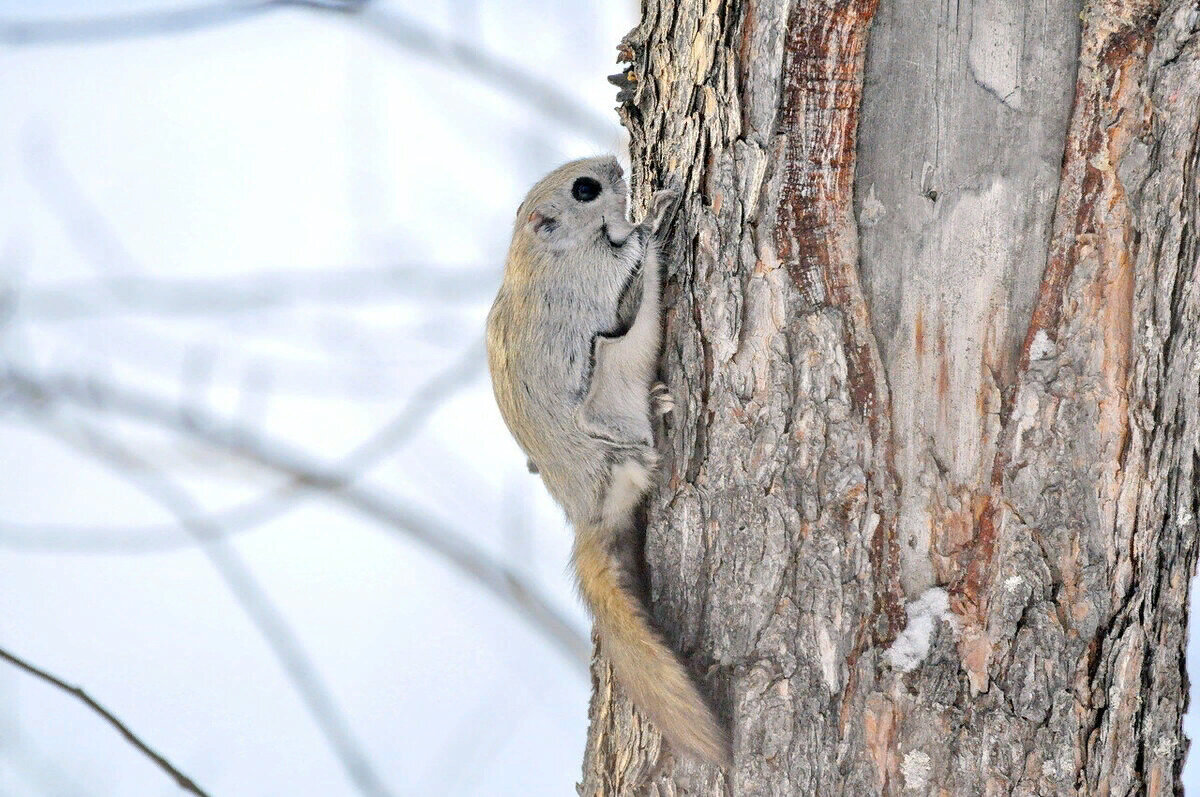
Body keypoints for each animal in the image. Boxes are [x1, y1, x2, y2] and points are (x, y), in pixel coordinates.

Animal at [482, 153, 724, 768]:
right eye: (585, 189)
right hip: (616, 417)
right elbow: (638, 263)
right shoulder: (607, 284)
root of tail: (590, 512)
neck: (547, 254)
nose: (615, 162)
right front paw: (659, 208)